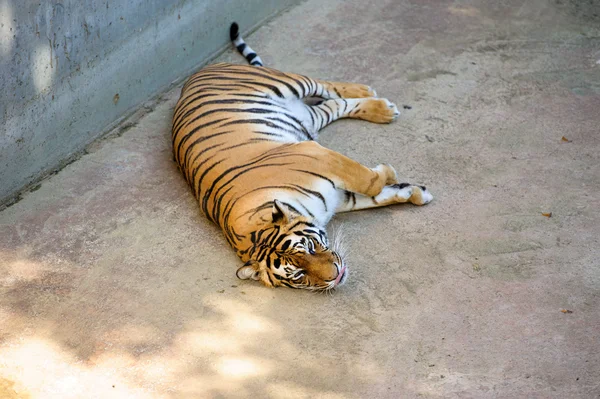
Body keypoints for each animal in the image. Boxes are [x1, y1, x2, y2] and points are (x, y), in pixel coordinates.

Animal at [171, 22, 434, 290]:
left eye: (309, 247)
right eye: (298, 274)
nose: (336, 275)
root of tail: (199, 73)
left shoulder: (316, 153)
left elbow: (370, 183)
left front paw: (390, 173)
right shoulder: (336, 197)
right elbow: (375, 195)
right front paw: (414, 193)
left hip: (289, 83)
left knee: (325, 86)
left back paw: (367, 91)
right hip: (309, 117)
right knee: (333, 105)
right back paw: (381, 109)